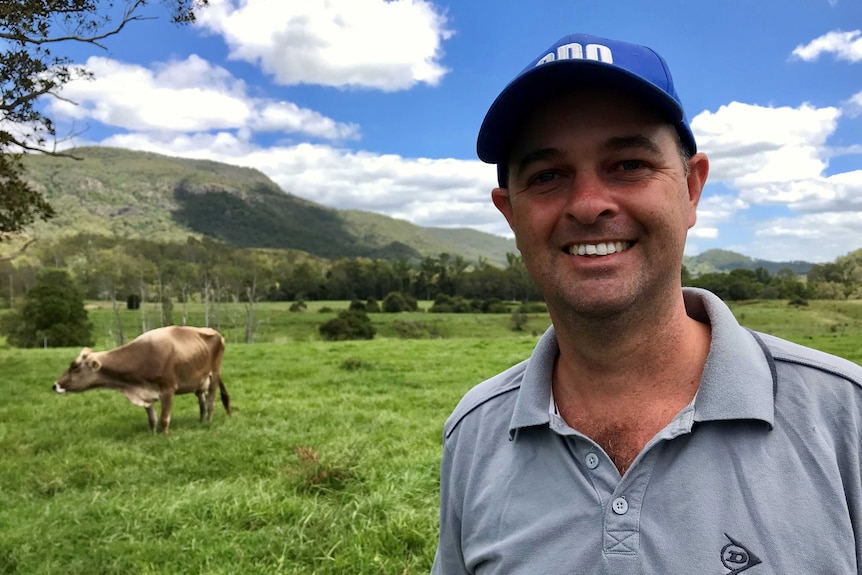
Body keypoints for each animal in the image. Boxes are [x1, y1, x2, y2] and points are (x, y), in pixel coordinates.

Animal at [52, 326, 231, 434]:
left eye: (74, 367)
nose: (55, 385)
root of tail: (215, 332)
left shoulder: (168, 389)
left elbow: (164, 419)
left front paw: (164, 436)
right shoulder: (145, 392)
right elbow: (152, 419)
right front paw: (152, 435)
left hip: (214, 374)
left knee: (211, 400)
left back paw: (208, 422)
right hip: (199, 381)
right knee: (202, 401)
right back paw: (201, 422)